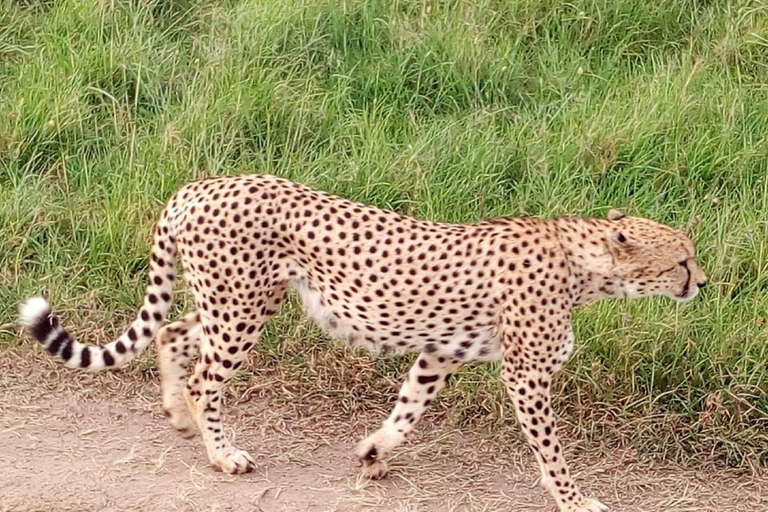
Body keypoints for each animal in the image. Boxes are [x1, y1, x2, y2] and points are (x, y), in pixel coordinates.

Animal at [18, 174, 704, 510]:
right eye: (682, 259)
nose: (703, 281)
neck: (582, 264)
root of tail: (202, 184)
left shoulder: (442, 350)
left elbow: (408, 409)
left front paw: (374, 454)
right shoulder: (525, 374)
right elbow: (551, 451)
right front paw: (574, 498)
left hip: (234, 302)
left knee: (171, 333)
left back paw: (180, 420)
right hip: (241, 310)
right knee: (201, 373)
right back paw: (220, 452)